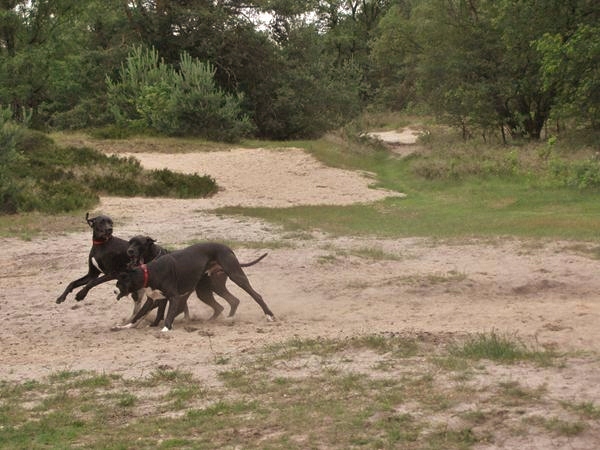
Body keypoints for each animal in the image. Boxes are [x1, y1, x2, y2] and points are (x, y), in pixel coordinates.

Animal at [115, 242, 275, 330]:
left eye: (119, 284)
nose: (114, 291)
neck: (149, 272)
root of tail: (227, 248)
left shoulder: (174, 297)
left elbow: (168, 314)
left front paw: (166, 328)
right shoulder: (152, 299)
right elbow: (138, 315)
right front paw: (125, 326)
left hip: (236, 276)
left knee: (256, 295)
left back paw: (269, 315)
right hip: (207, 290)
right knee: (230, 302)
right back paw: (226, 319)